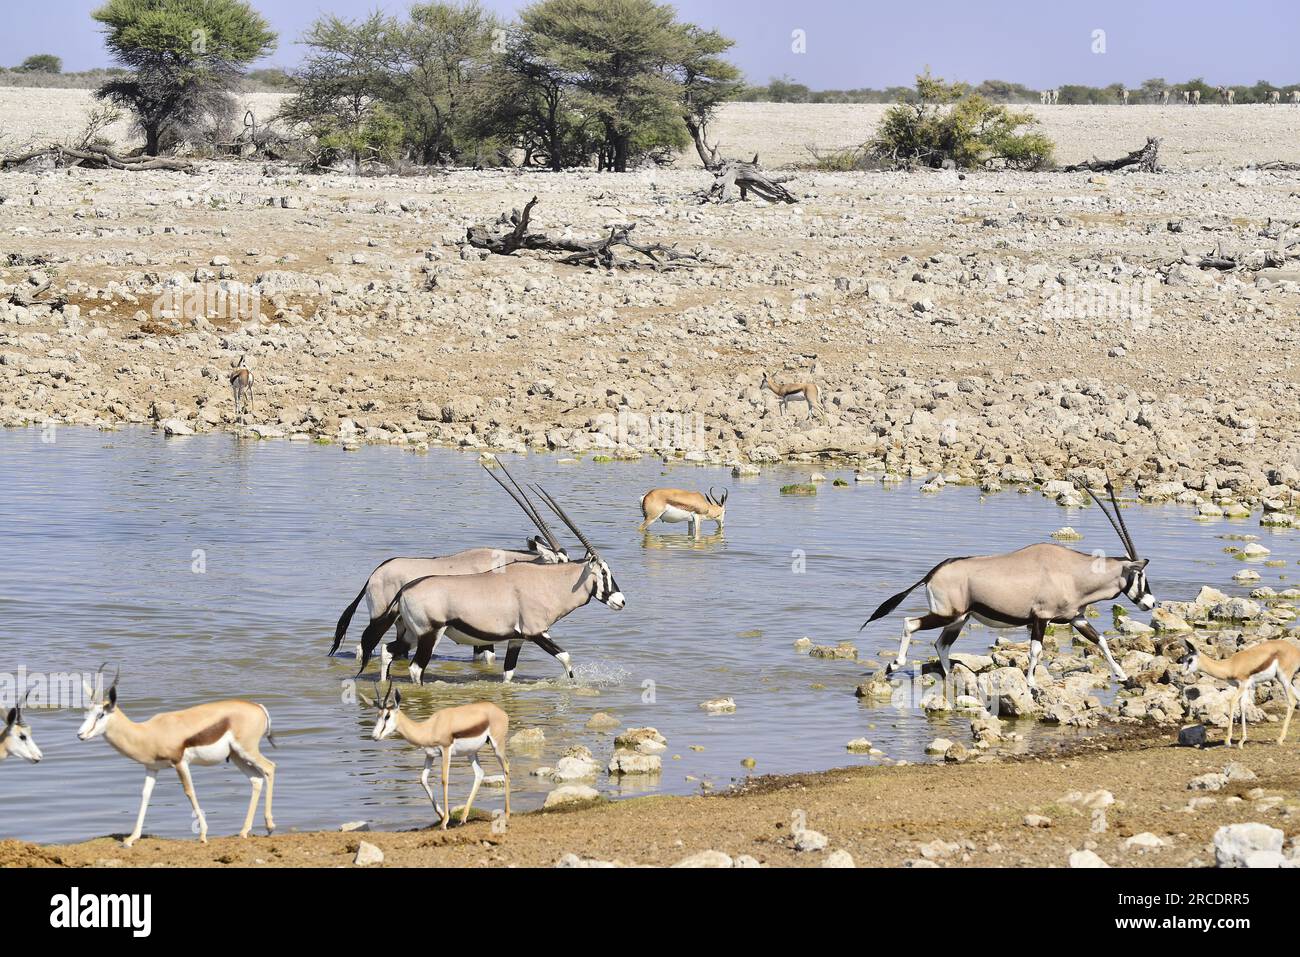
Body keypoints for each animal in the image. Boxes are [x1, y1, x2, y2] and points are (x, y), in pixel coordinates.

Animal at [76, 670, 276, 842]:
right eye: (88, 712)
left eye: (101, 714)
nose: (80, 734)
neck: (147, 733)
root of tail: (258, 707)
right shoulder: (152, 768)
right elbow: (145, 795)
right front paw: (131, 839)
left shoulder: (180, 763)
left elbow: (189, 791)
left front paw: (203, 834)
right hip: (236, 756)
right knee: (256, 779)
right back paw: (244, 831)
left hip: (247, 751)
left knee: (269, 768)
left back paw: (270, 826)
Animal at [330, 457, 569, 676]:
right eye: (560, 563)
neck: (503, 562)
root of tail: (375, 574)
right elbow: (489, 658)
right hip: (381, 618)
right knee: (363, 647)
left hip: (403, 624)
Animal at [358, 488, 626, 686]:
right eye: (604, 572)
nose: (620, 601)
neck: (547, 582)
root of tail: (405, 590)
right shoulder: (537, 633)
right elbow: (566, 658)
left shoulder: (516, 639)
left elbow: (508, 672)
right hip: (429, 634)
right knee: (415, 668)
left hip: (413, 634)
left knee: (387, 651)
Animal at [366, 681, 512, 832]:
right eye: (377, 715)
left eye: (387, 716)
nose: (374, 736)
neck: (429, 728)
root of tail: (500, 711)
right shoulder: (430, 755)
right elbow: (423, 780)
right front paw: (442, 815)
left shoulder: (445, 750)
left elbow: (444, 780)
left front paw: (444, 822)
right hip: (471, 752)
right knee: (479, 773)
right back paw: (463, 818)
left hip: (497, 746)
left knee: (506, 766)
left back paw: (506, 815)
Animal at [863, 481, 1159, 686]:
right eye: (1140, 576)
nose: (1151, 602)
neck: (1073, 571)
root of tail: (933, 572)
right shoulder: (1041, 618)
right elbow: (1036, 650)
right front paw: (1031, 682)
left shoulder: (1077, 618)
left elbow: (1101, 641)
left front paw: (1121, 674)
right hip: (947, 613)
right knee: (910, 624)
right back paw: (894, 665)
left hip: (959, 619)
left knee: (942, 644)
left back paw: (950, 676)